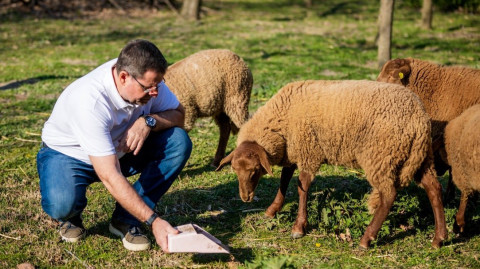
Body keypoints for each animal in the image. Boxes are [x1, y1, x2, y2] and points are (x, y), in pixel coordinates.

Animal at [216, 79, 448, 247]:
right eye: (234, 169)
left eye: (254, 170)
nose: (245, 197)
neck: (282, 118)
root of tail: (419, 118)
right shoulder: (293, 150)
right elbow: (284, 180)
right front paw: (272, 210)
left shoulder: (308, 151)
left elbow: (302, 187)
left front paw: (299, 227)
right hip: (421, 157)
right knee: (434, 188)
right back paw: (439, 238)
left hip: (381, 156)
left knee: (389, 195)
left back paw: (366, 239)